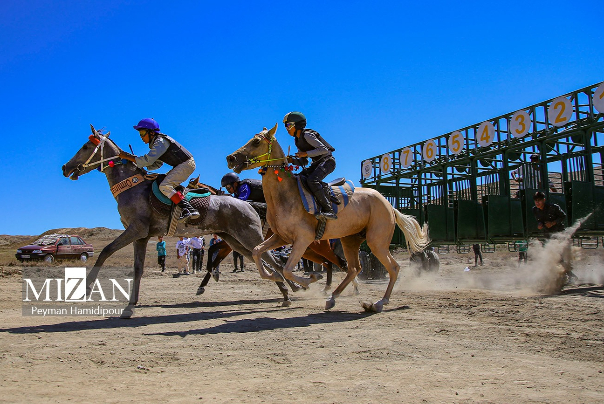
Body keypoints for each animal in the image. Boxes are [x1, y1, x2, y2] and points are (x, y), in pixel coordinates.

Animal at [62, 124, 296, 318]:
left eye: (85, 146)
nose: (65, 168)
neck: (131, 186)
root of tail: (247, 204)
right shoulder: (141, 236)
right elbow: (137, 269)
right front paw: (130, 306)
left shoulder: (135, 230)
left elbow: (105, 252)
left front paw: (86, 289)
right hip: (234, 241)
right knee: (263, 259)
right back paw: (285, 291)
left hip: (248, 236)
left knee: (273, 260)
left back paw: (292, 289)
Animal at [226, 124, 430, 314]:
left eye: (256, 142)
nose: (231, 158)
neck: (285, 195)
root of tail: (389, 205)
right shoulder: (280, 238)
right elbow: (257, 252)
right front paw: (275, 277)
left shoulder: (303, 239)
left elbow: (287, 269)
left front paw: (310, 279)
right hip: (350, 240)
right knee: (353, 268)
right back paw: (332, 298)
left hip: (376, 241)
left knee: (392, 268)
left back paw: (379, 303)